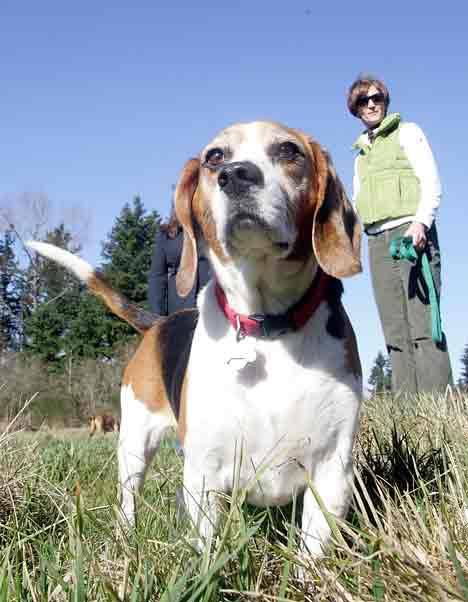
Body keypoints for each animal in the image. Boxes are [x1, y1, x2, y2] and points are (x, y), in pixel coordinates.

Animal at [28, 119, 362, 556]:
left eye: (289, 151)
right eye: (214, 157)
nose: (236, 175)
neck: (266, 327)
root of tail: (158, 322)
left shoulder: (331, 472)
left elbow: (313, 552)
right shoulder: (206, 470)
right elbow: (209, 548)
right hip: (134, 443)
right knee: (129, 497)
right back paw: (125, 537)